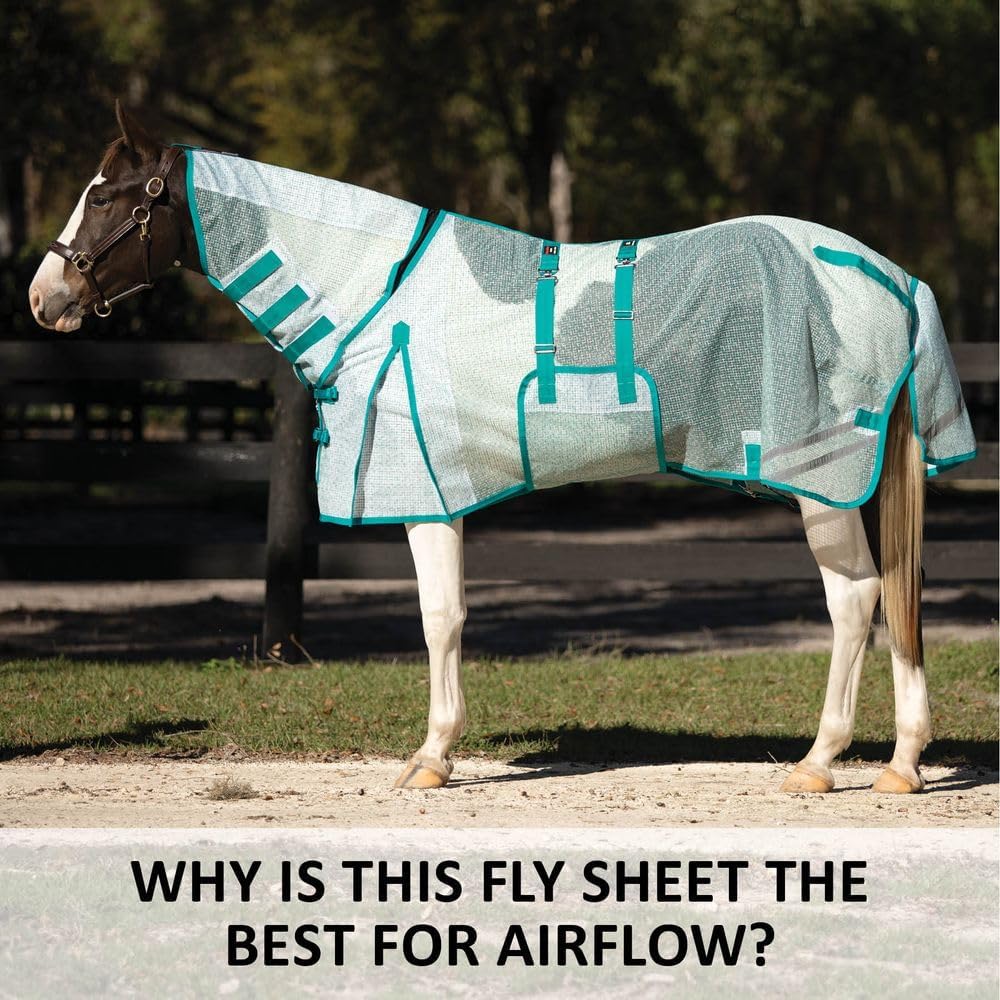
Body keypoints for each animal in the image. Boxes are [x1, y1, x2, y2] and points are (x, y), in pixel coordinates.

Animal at [29, 104, 977, 794]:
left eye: (108, 195)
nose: (45, 296)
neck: (381, 289)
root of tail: (893, 277)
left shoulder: (427, 494)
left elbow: (439, 619)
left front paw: (431, 759)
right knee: (897, 594)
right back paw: (900, 764)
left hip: (822, 488)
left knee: (856, 601)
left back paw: (820, 764)